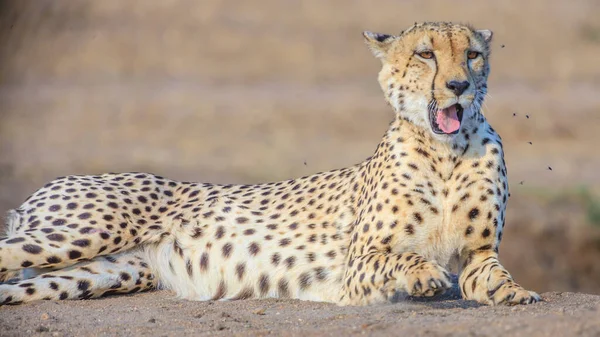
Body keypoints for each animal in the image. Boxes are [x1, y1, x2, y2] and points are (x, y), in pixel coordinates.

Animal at [0, 21, 540, 304]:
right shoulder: (356, 265)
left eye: (472, 55)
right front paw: (424, 276)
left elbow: (494, 276)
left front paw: (517, 292)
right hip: (81, 234)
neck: (445, 153)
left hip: (101, 272)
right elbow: (400, 257)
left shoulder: (479, 254)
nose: (458, 86)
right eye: (426, 54)